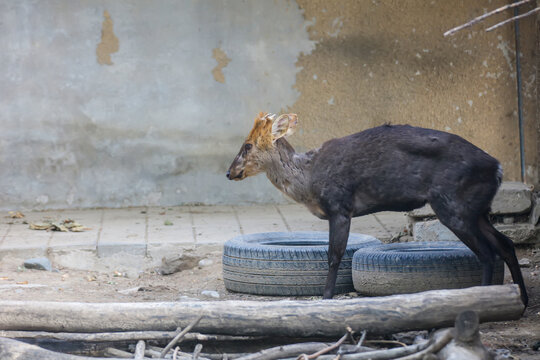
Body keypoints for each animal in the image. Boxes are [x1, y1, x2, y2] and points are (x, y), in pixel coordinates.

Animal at [226, 112, 528, 306]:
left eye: (247, 145)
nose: (230, 172)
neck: (309, 179)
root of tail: (498, 168)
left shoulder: (340, 206)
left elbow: (334, 256)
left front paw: (325, 298)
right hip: (477, 209)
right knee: (506, 243)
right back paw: (522, 300)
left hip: (453, 205)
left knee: (487, 253)